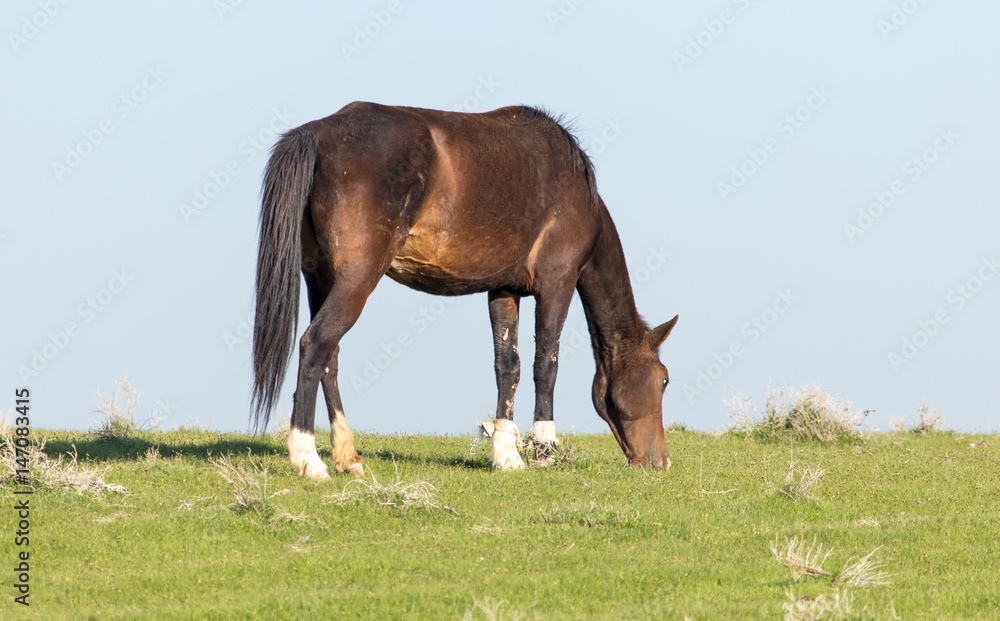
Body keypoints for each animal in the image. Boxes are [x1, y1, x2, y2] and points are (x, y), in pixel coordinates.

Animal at [251, 102, 678, 479]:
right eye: (663, 379)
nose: (660, 461)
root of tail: (319, 132)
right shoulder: (558, 284)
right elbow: (546, 364)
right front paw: (544, 450)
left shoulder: (503, 290)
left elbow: (509, 367)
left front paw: (507, 454)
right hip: (357, 279)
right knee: (315, 344)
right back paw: (308, 459)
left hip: (322, 277)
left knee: (330, 357)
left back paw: (347, 457)